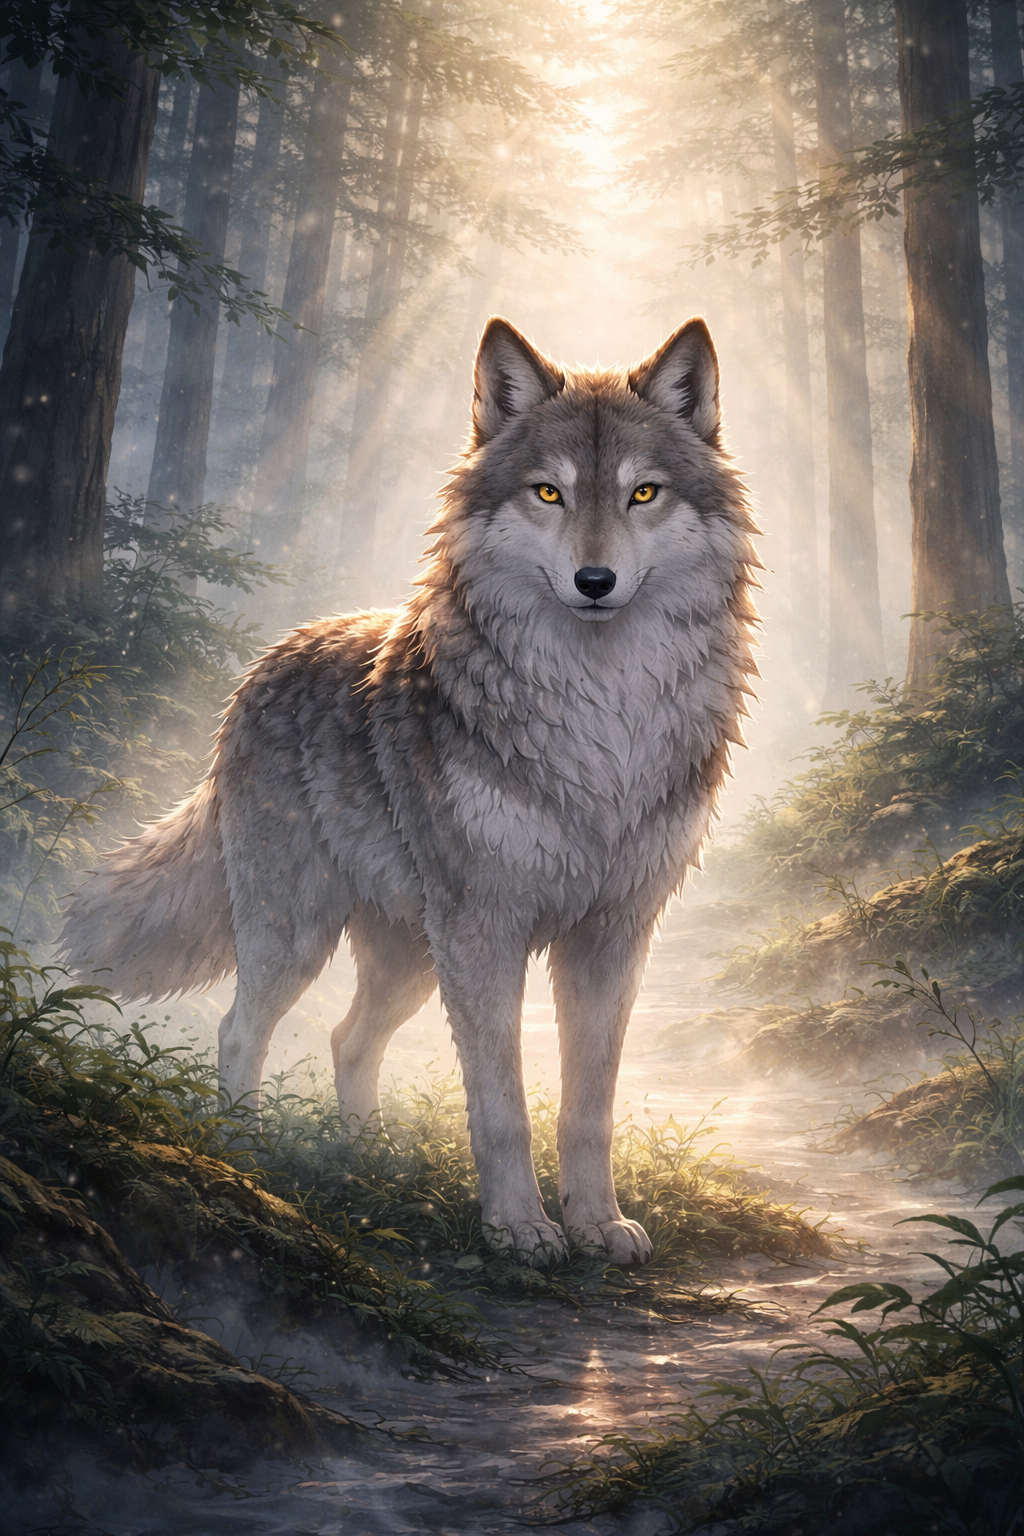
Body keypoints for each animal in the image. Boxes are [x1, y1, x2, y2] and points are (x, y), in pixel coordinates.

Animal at [62, 316, 760, 1265]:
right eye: (549, 493)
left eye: (642, 494)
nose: (595, 582)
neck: (601, 725)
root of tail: (262, 666)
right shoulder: (486, 931)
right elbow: (502, 1103)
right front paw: (518, 1228)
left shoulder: (614, 937)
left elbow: (589, 1104)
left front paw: (596, 1224)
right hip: (305, 934)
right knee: (241, 1028)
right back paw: (245, 1156)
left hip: (409, 961)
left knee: (347, 1039)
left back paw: (366, 1161)